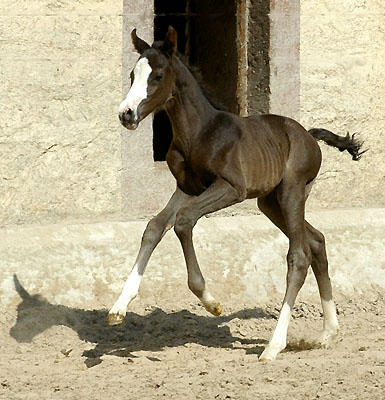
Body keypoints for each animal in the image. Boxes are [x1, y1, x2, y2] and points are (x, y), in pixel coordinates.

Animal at [109, 26, 364, 360]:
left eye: (158, 75)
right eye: (132, 74)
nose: (126, 114)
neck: (198, 133)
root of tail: (309, 135)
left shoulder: (231, 188)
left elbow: (183, 221)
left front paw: (209, 300)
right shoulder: (186, 188)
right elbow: (154, 227)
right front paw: (118, 308)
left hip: (292, 192)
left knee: (299, 255)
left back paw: (274, 345)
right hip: (269, 203)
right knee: (317, 240)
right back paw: (328, 332)